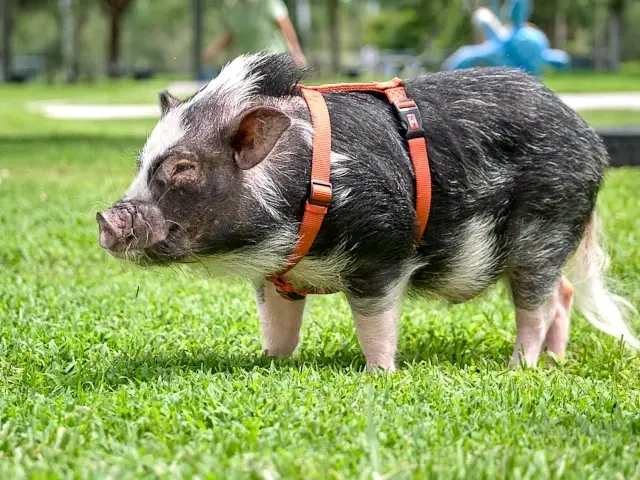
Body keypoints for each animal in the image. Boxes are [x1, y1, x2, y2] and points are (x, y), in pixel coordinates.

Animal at [96, 52, 640, 372]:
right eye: (142, 165)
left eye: (182, 169)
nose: (107, 219)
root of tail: (590, 138)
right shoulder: (276, 277)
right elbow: (279, 330)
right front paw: (266, 360)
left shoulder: (382, 250)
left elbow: (375, 323)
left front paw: (379, 374)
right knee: (563, 293)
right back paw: (555, 361)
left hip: (545, 225)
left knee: (537, 303)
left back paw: (520, 367)